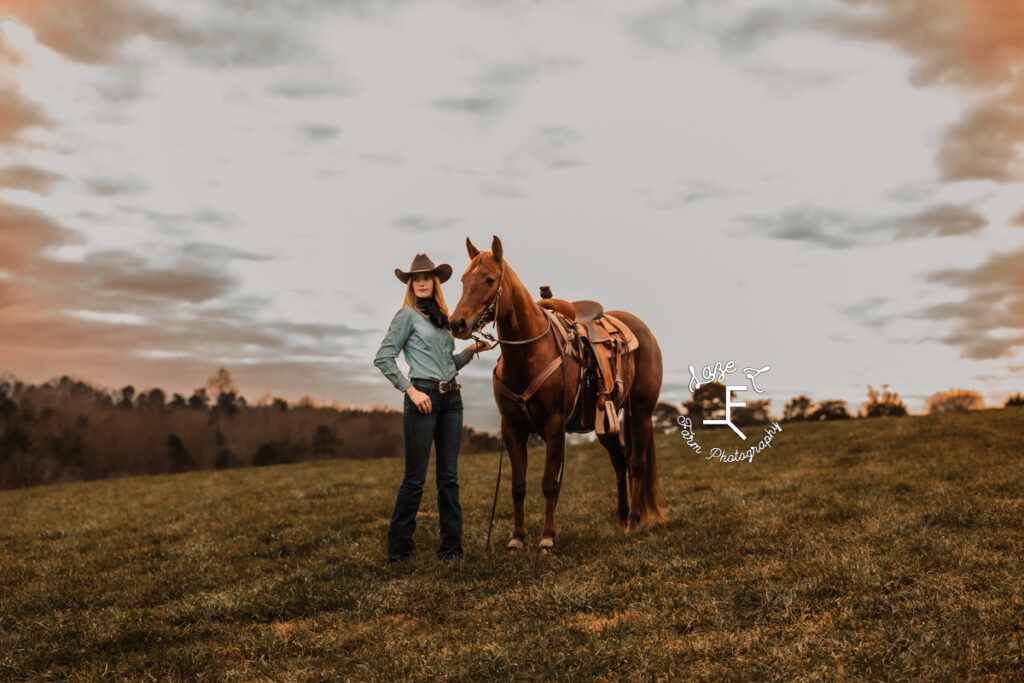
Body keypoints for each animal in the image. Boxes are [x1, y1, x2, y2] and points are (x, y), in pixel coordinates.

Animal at [450, 236, 671, 557]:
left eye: (489, 279)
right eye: (464, 279)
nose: (457, 323)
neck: (529, 353)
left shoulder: (554, 427)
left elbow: (549, 483)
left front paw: (547, 539)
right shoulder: (512, 429)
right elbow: (518, 485)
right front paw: (517, 538)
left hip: (640, 413)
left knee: (636, 463)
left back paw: (632, 522)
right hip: (604, 423)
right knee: (620, 461)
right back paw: (620, 519)